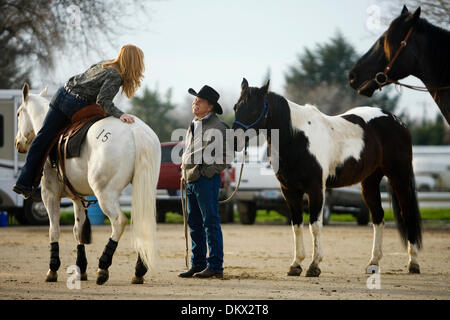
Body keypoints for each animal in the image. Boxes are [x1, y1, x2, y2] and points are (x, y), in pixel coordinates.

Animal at [14, 84, 161, 284]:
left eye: (18, 113)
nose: (18, 143)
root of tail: (135, 130)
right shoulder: (78, 198)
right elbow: (78, 230)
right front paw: (81, 269)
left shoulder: (49, 195)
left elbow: (54, 230)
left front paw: (52, 269)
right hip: (143, 190)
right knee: (142, 224)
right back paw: (138, 271)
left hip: (105, 194)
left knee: (119, 221)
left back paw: (103, 267)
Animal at [232, 78, 422, 278]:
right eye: (236, 107)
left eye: (254, 110)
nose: (234, 141)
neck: (296, 137)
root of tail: (398, 121)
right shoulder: (289, 191)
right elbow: (296, 225)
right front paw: (296, 264)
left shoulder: (316, 189)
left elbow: (314, 225)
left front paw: (314, 265)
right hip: (370, 182)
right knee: (378, 218)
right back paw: (373, 263)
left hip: (400, 177)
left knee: (407, 215)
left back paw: (413, 263)